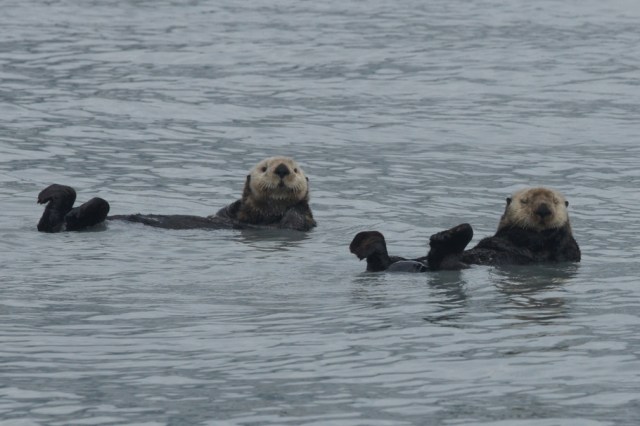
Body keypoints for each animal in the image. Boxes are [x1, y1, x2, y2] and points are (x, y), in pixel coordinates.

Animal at [36, 156, 316, 233]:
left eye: (295, 169)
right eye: (264, 168)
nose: (282, 169)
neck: (264, 214)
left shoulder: (300, 222)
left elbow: (296, 218)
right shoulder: (230, 213)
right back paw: (53, 193)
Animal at [350, 187, 580, 272]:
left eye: (554, 201)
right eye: (525, 201)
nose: (543, 209)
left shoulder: (562, 248)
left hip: (452, 263)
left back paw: (450, 235)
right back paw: (364, 242)